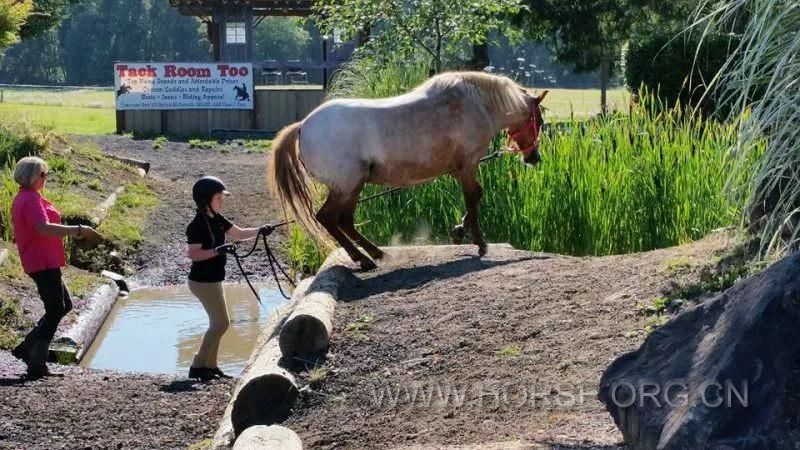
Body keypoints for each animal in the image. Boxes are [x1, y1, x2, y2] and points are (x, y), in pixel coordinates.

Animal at [266, 71, 548, 268]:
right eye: (541, 121)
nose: (534, 157)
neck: (475, 104)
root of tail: (303, 125)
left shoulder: (459, 169)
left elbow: (475, 196)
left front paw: (459, 231)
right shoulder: (468, 165)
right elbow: (473, 197)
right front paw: (479, 243)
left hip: (353, 187)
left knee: (343, 221)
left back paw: (375, 253)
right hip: (348, 186)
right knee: (328, 218)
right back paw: (364, 258)